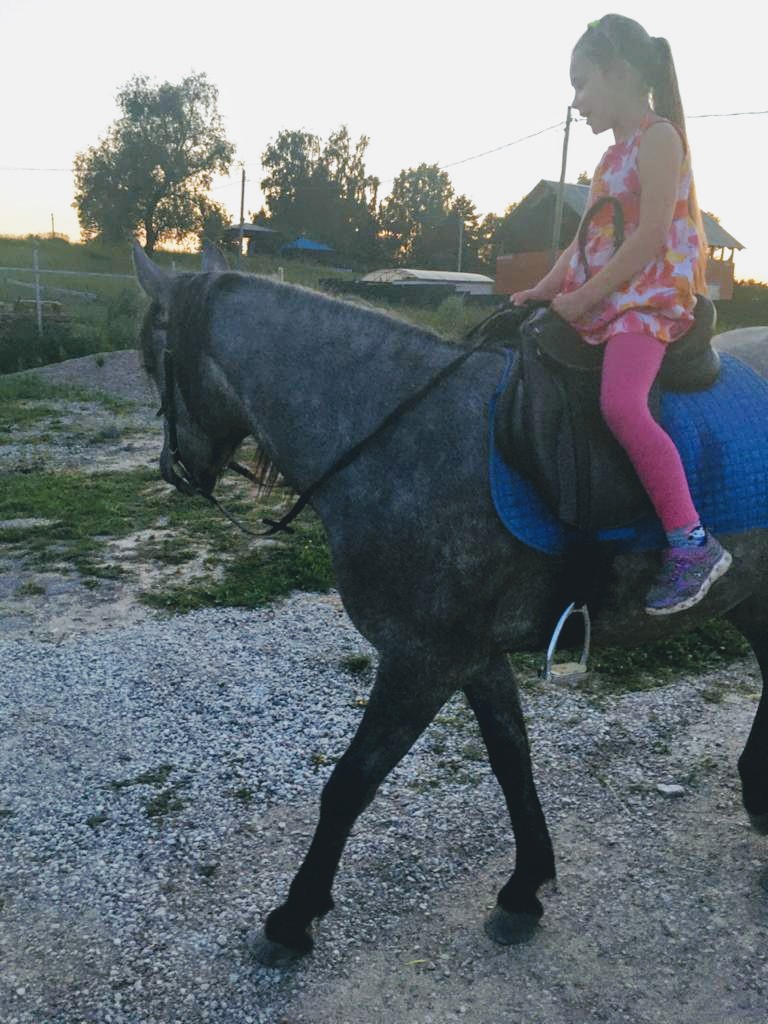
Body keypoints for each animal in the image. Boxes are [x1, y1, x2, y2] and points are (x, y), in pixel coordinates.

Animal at [132, 242, 768, 966]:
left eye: (152, 360)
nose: (175, 469)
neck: (403, 439)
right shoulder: (473, 656)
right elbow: (511, 761)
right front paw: (524, 890)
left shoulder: (423, 659)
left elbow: (350, 784)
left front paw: (294, 917)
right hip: (751, 592)